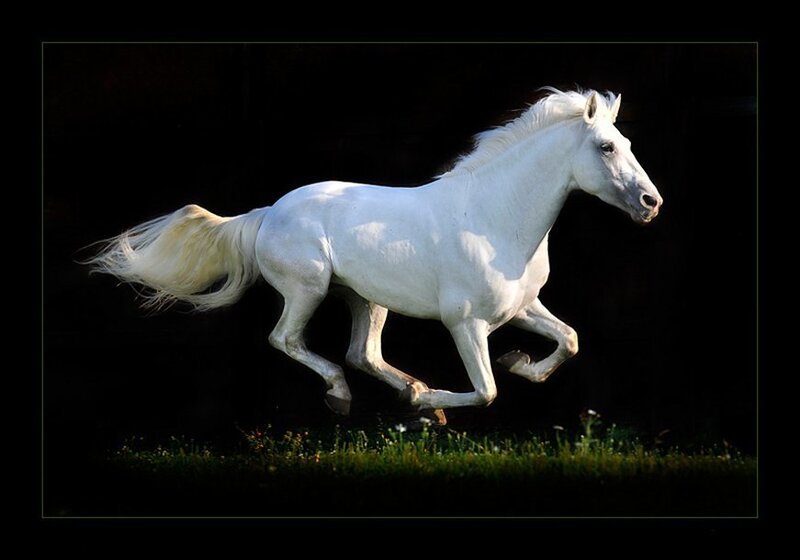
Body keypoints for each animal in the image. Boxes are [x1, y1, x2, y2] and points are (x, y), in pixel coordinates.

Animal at [86, 88, 663, 426]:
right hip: (308, 289)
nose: (651, 203)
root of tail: (268, 212)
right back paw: (350, 397)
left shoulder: (521, 308)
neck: (494, 217)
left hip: (366, 298)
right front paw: (431, 407)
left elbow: (569, 340)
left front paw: (518, 363)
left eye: (629, 143)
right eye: (607, 148)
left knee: (362, 353)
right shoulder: (466, 323)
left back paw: (408, 388)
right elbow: (486, 392)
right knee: (288, 340)